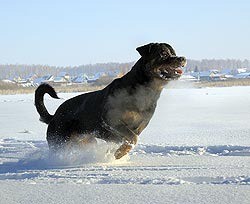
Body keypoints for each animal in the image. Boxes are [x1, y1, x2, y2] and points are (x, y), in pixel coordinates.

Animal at [34, 43, 186, 159]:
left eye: (174, 52)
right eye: (163, 54)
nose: (182, 58)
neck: (147, 91)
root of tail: (54, 116)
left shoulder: (138, 128)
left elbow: (132, 139)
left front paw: (119, 152)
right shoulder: (111, 120)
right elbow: (132, 138)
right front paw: (119, 153)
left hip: (88, 141)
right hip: (59, 140)